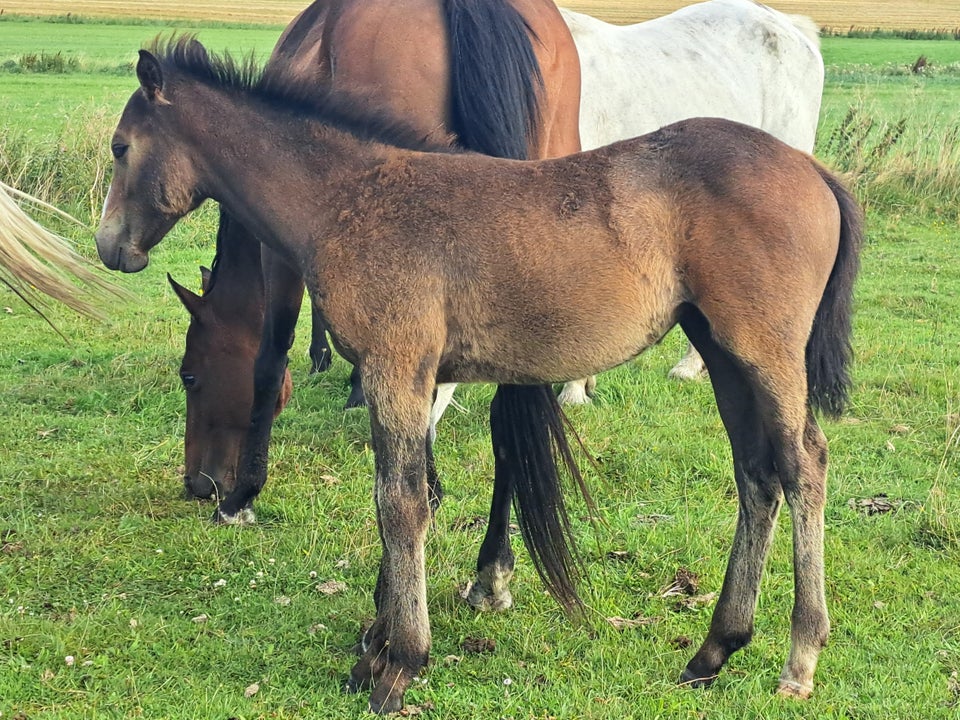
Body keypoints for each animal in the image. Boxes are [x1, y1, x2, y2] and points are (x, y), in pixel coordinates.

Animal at [95, 39, 864, 716]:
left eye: (121, 147)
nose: (110, 248)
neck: (349, 198)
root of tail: (816, 172)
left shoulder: (397, 368)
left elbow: (401, 505)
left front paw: (398, 665)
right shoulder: (412, 375)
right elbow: (412, 496)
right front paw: (373, 649)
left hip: (763, 351)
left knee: (804, 464)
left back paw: (799, 659)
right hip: (721, 351)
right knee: (756, 474)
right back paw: (713, 651)